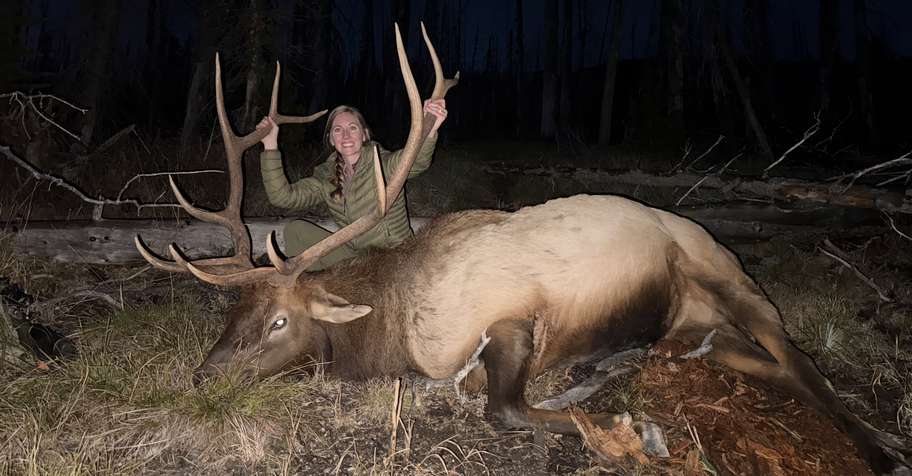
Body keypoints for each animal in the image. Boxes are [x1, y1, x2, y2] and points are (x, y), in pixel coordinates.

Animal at [134, 23, 910, 474]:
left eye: (279, 321)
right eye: (229, 313)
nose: (202, 378)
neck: (391, 326)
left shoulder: (509, 319)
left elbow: (504, 409)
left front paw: (631, 433)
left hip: (725, 275)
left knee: (802, 362)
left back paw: (883, 449)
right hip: (703, 333)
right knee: (773, 367)